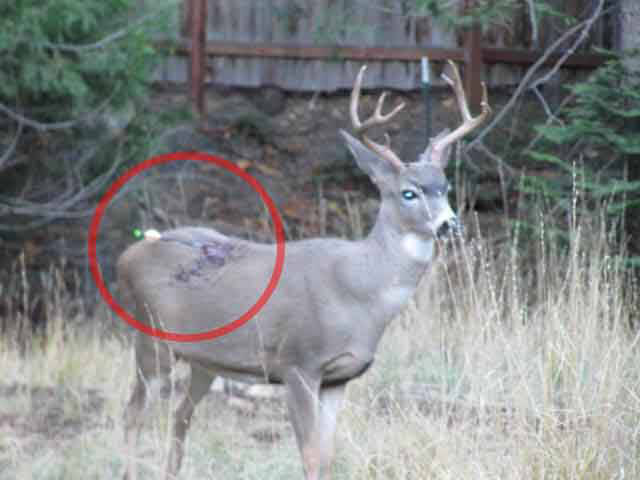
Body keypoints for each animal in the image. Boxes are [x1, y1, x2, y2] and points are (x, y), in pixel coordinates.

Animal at [117, 60, 490, 480]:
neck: (361, 293)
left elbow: (326, 456)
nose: (449, 225)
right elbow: (311, 456)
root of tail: (129, 253)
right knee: (132, 414)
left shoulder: (339, 377)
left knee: (180, 414)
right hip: (150, 341)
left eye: (445, 187)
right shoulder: (297, 363)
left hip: (204, 358)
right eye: (408, 192)